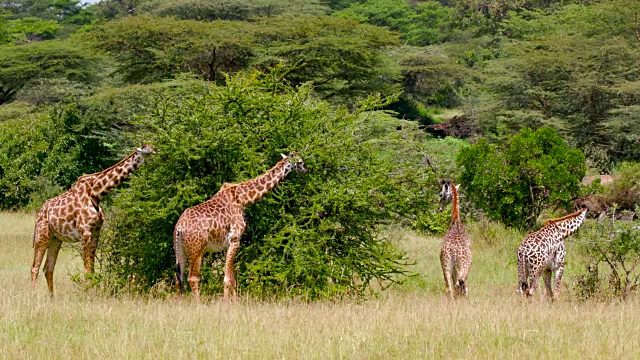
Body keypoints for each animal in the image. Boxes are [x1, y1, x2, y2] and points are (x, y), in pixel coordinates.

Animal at [31, 145, 154, 296]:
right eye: (148, 152)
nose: (160, 155)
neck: (96, 193)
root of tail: (39, 213)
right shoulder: (85, 232)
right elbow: (86, 270)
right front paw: (87, 295)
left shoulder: (96, 232)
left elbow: (92, 270)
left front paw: (93, 294)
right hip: (42, 235)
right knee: (35, 268)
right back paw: (32, 296)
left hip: (56, 239)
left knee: (48, 268)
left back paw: (52, 298)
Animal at [172, 152, 308, 304]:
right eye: (300, 161)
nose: (307, 170)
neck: (243, 198)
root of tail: (180, 227)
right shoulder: (235, 239)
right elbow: (227, 279)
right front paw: (226, 304)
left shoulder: (227, 245)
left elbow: (232, 279)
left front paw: (235, 304)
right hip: (197, 250)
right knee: (192, 278)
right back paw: (199, 305)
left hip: (180, 249)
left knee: (178, 279)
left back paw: (180, 304)